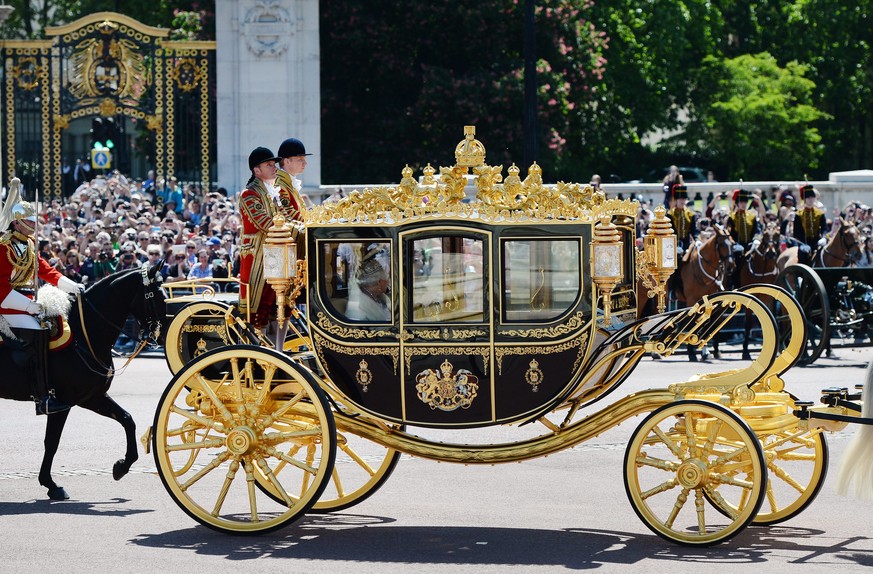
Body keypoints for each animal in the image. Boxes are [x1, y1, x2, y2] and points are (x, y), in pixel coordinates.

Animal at [0, 264, 165, 500]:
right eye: (157, 295)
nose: (161, 335)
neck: (84, 337)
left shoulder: (91, 397)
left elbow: (127, 419)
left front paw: (122, 466)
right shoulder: (62, 402)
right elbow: (52, 441)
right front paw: (50, 483)